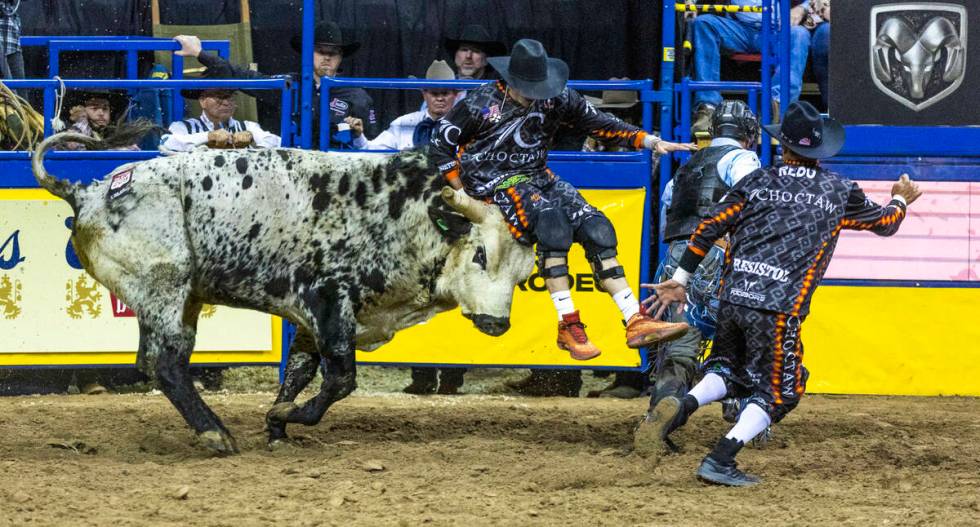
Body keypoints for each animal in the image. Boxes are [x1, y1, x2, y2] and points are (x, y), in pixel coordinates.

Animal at [32, 135, 536, 454]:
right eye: (480, 254)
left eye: (522, 273)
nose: (498, 324)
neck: (406, 216)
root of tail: (88, 191)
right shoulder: (330, 301)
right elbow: (340, 379)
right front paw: (291, 416)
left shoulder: (311, 321)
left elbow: (297, 372)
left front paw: (277, 423)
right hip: (165, 289)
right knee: (168, 365)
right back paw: (215, 435)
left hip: (180, 299)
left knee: (152, 362)